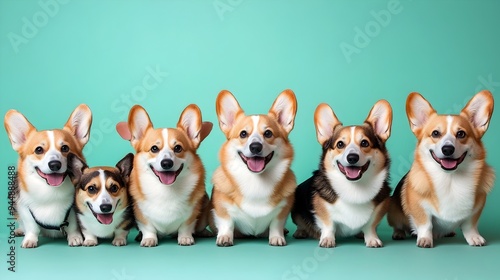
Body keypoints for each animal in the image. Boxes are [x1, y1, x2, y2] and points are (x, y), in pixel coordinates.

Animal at [3, 104, 92, 247]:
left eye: (65, 148)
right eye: (39, 150)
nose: (54, 164)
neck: (51, 191)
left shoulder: (74, 210)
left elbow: (72, 224)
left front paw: (75, 237)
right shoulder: (24, 207)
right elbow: (31, 226)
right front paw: (30, 239)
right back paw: (19, 230)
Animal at [126, 104, 212, 246]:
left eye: (178, 148)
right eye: (154, 148)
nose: (166, 163)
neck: (166, 190)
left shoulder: (192, 214)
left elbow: (185, 226)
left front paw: (185, 238)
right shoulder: (141, 214)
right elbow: (148, 227)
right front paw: (149, 239)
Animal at [210, 89, 296, 245]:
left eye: (268, 133)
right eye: (243, 134)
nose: (255, 147)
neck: (255, 180)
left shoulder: (282, 210)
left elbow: (276, 223)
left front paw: (276, 237)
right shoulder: (222, 207)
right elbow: (227, 222)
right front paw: (225, 237)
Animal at [292, 100, 392, 247]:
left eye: (364, 143)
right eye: (340, 144)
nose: (352, 158)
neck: (354, 188)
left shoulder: (380, 207)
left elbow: (370, 226)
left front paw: (372, 239)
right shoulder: (322, 209)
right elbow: (329, 225)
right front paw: (327, 239)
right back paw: (301, 232)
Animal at [388, 90, 494, 247]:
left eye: (461, 134)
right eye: (435, 133)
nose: (447, 149)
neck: (450, 179)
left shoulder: (476, 209)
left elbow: (470, 226)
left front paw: (474, 237)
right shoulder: (419, 207)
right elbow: (425, 224)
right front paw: (425, 239)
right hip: (394, 213)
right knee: (399, 226)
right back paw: (399, 233)